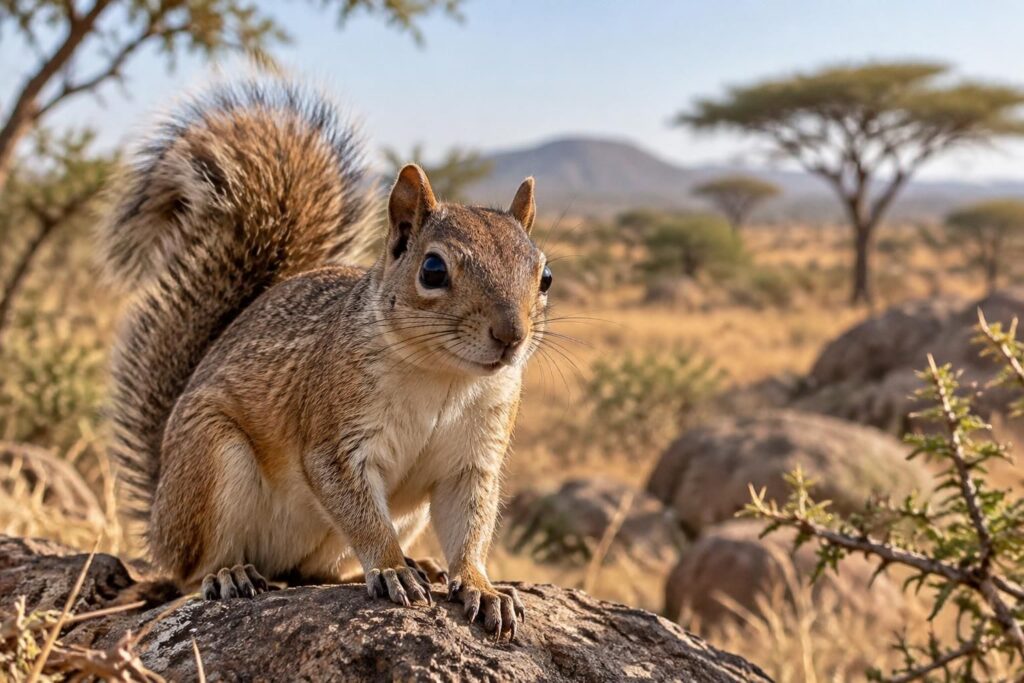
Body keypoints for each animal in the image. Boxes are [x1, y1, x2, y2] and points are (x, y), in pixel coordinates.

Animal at [100, 80, 550, 640]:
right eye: (432, 269)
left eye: (545, 276)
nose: (511, 336)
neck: (443, 377)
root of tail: (160, 517)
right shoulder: (336, 436)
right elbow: (360, 512)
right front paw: (392, 568)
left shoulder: (473, 460)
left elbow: (470, 526)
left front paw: (480, 586)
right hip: (211, 463)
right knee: (194, 568)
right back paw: (230, 575)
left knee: (308, 572)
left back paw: (390, 568)